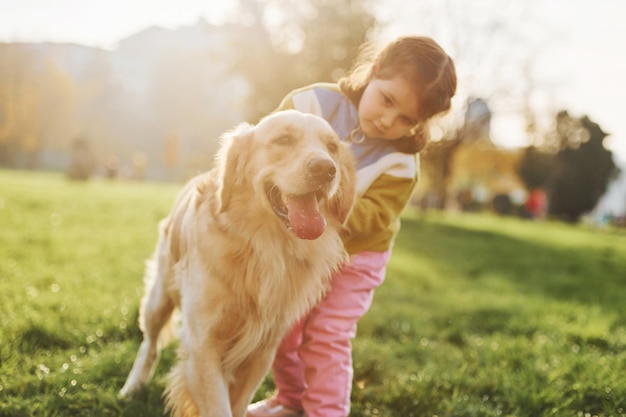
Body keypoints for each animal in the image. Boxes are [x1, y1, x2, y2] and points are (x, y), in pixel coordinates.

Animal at [117, 109, 352, 416]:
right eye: (284, 139)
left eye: (332, 147)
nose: (326, 169)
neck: (263, 247)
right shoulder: (203, 345)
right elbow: (219, 407)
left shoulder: (263, 348)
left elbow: (237, 404)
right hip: (159, 298)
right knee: (150, 344)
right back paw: (132, 388)